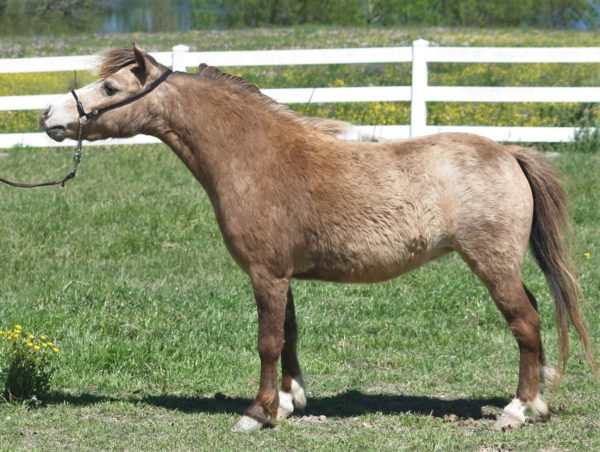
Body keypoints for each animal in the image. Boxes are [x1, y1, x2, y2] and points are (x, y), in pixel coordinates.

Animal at [38, 45, 596, 430]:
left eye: (111, 89)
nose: (49, 117)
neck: (254, 157)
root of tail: (509, 154)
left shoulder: (265, 273)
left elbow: (266, 341)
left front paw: (257, 414)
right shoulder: (281, 274)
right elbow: (288, 336)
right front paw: (288, 401)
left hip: (491, 264)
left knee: (525, 324)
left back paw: (517, 410)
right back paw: (538, 398)